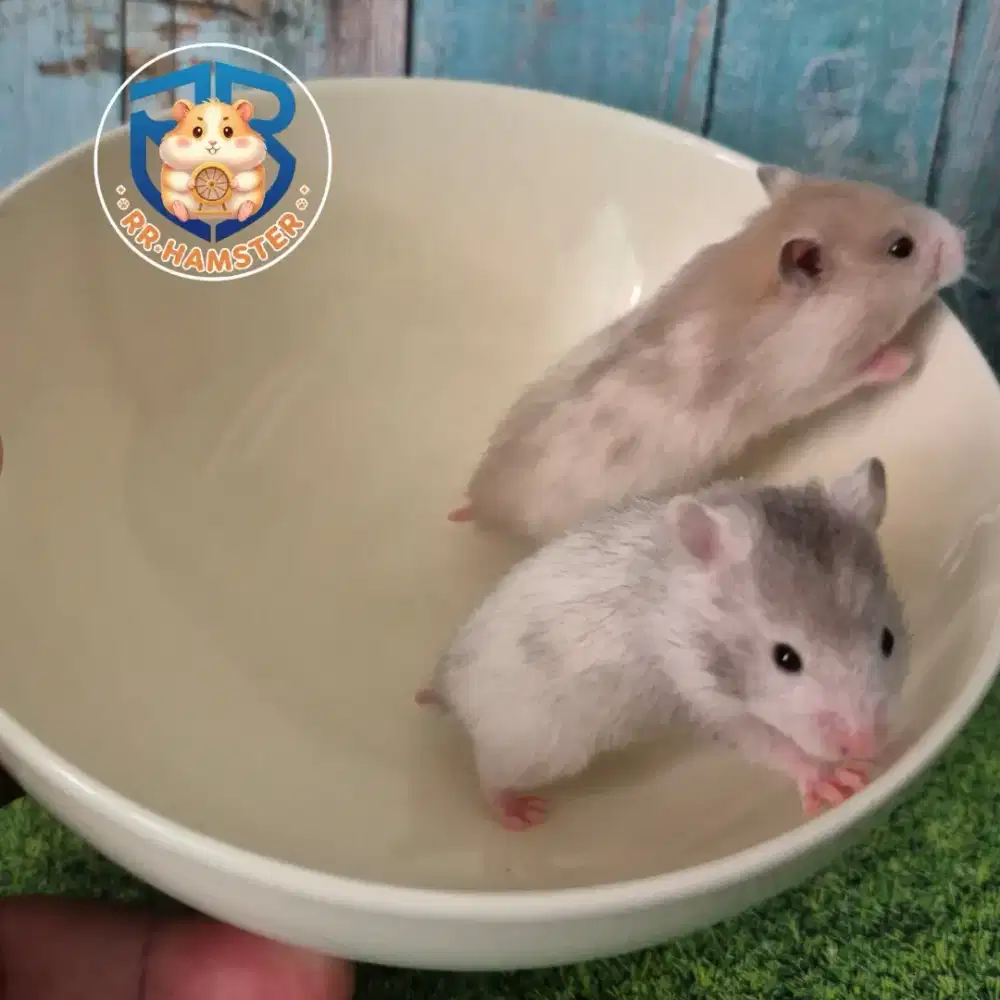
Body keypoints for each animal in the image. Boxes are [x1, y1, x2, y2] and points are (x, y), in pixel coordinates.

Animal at [419, 457, 909, 830]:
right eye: (785, 658)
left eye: (888, 640)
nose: (867, 747)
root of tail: (446, 681)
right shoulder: (704, 700)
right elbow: (772, 744)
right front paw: (835, 782)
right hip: (537, 747)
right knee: (487, 773)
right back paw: (517, 813)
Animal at [448, 166, 966, 544]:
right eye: (901, 248)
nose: (963, 239)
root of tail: (480, 501)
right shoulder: (815, 378)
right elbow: (863, 371)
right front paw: (906, 357)